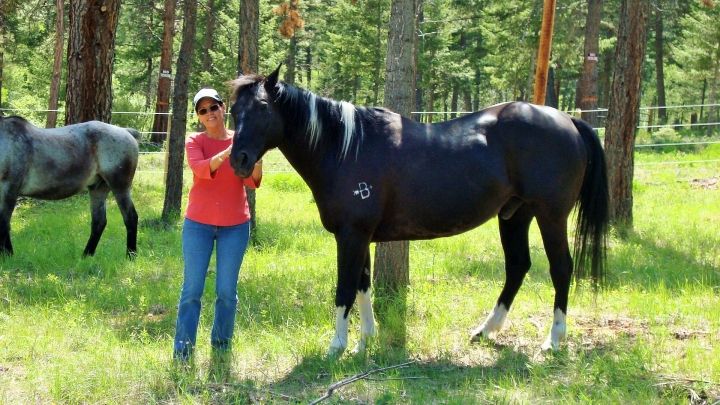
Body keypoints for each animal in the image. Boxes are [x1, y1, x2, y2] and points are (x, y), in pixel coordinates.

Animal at [0, 115, 139, 258]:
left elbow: (3, 223)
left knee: (130, 217)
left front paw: (7, 256)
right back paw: (86, 256)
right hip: (98, 189)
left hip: (120, 187)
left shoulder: (9, 189)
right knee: (99, 222)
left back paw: (131, 255)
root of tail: (126, 131)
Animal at [226, 67, 608, 354]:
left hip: (550, 216)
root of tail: (568, 120)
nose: (238, 161)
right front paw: (365, 340)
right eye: (234, 110)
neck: (347, 147)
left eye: (263, 107)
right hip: (515, 215)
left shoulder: (351, 236)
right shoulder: (362, 236)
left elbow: (345, 288)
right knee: (517, 266)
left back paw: (553, 340)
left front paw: (337, 346)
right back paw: (486, 331)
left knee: (560, 268)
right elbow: (363, 286)